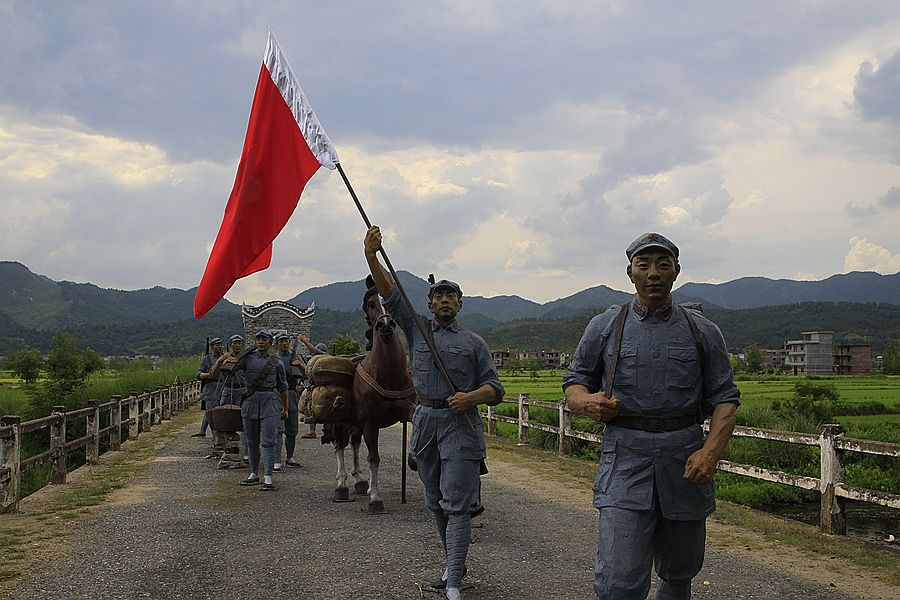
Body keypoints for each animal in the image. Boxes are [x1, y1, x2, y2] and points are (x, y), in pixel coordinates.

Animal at [328, 284, 416, 512]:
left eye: (391, 299)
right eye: (370, 304)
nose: (385, 326)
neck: (388, 374)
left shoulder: (406, 409)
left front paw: (413, 458)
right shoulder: (371, 422)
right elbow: (374, 458)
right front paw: (375, 498)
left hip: (356, 423)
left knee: (354, 443)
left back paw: (360, 481)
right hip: (342, 421)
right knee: (340, 446)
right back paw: (341, 485)